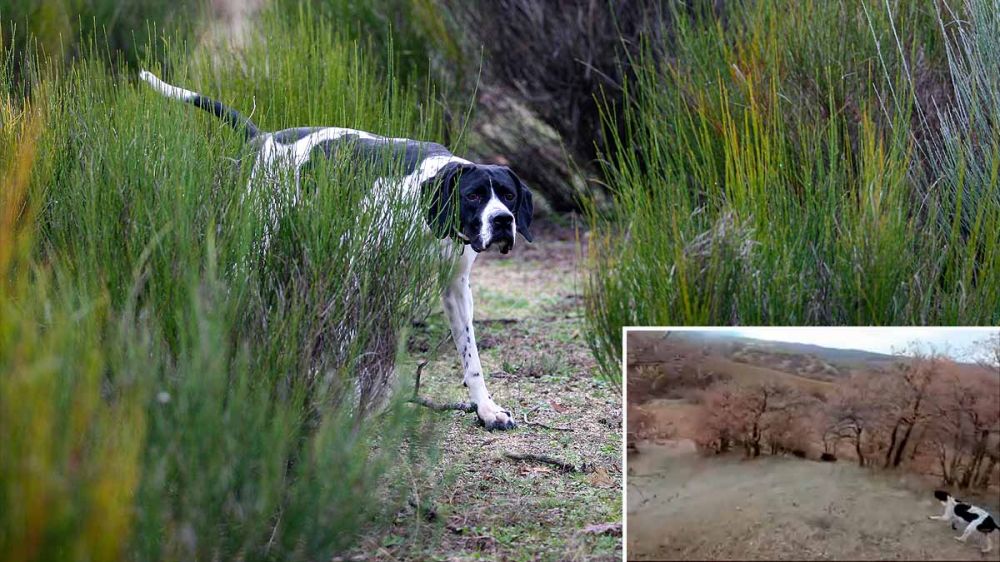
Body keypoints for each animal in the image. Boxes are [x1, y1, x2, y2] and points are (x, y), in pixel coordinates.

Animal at [139, 70, 540, 428]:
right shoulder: (358, 276)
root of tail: (264, 138)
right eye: (473, 196)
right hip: (253, 249)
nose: (503, 220)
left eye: (508, 195)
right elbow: (352, 350)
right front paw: (346, 406)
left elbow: (471, 359)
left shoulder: (457, 289)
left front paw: (486, 409)